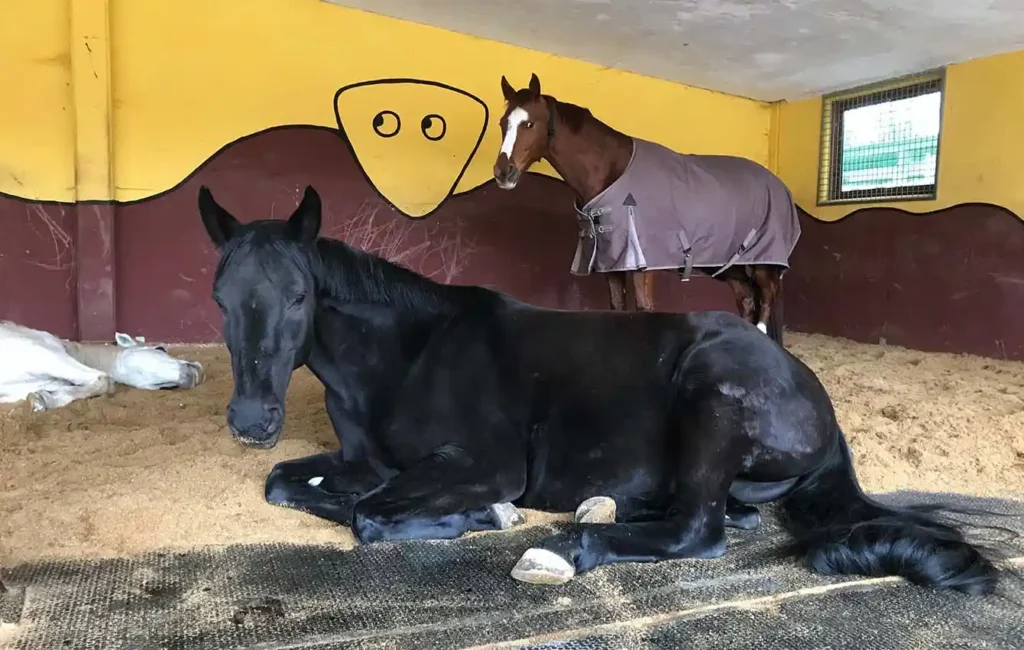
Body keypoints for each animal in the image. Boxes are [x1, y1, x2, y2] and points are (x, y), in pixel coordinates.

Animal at [0, 321, 205, 411]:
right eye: (160, 349)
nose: (198, 370)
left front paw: (43, 399)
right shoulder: (49, 357)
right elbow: (103, 379)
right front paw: (44, 400)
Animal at [198, 184, 998, 594]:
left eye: (299, 295)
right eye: (219, 297)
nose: (251, 420)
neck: (410, 356)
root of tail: (817, 399)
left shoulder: (482, 463)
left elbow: (368, 514)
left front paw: (482, 517)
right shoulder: (360, 459)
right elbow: (287, 484)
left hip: (712, 398)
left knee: (699, 531)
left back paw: (563, 547)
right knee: (720, 516)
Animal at [493, 73, 800, 346]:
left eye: (529, 123)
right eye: (502, 123)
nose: (503, 173)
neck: (612, 171)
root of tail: (777, 183)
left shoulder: (644, 262)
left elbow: (644, 308)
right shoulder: (612, 262)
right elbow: (617, 307)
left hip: (764, 263)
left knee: (764, 306)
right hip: (727, 266)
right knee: (747, 301)